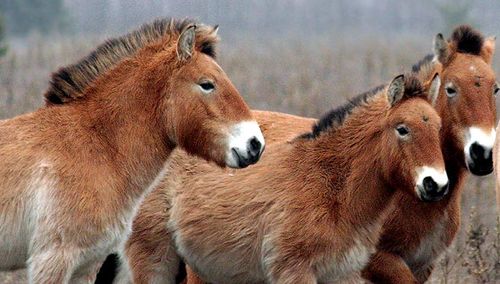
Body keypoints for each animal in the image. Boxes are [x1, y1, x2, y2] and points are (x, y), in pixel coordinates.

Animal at [116, 72, 446, 282]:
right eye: (402, 129)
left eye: (439, 127)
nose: (436, 185)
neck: (331, 184)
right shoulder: (294, 270)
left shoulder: (343, 274)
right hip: (154, 260)